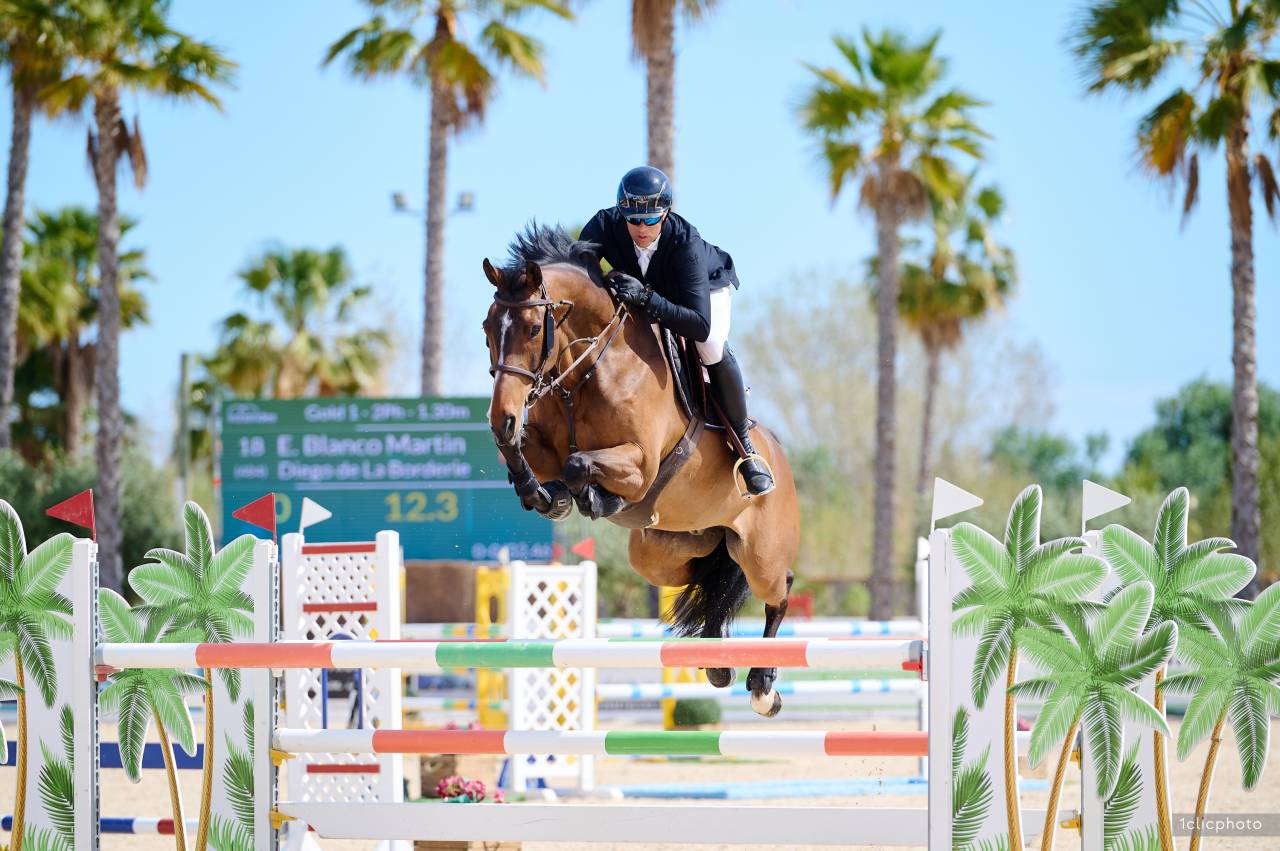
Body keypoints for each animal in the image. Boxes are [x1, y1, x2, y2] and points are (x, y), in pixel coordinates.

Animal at [481, 224, 800, 717]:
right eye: (487, 330)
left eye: (534, 329)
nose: (501, 419)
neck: (587, 371)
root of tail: (780, 458)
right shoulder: (543, 440)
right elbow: (532, 457)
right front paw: (543, 495)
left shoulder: (642, 463)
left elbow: (578, 464)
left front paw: (594, 497)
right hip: (665, 555)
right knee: (707, 582)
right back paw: (718, 661)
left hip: (760, 554)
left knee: (779, 589)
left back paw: (763, 685)